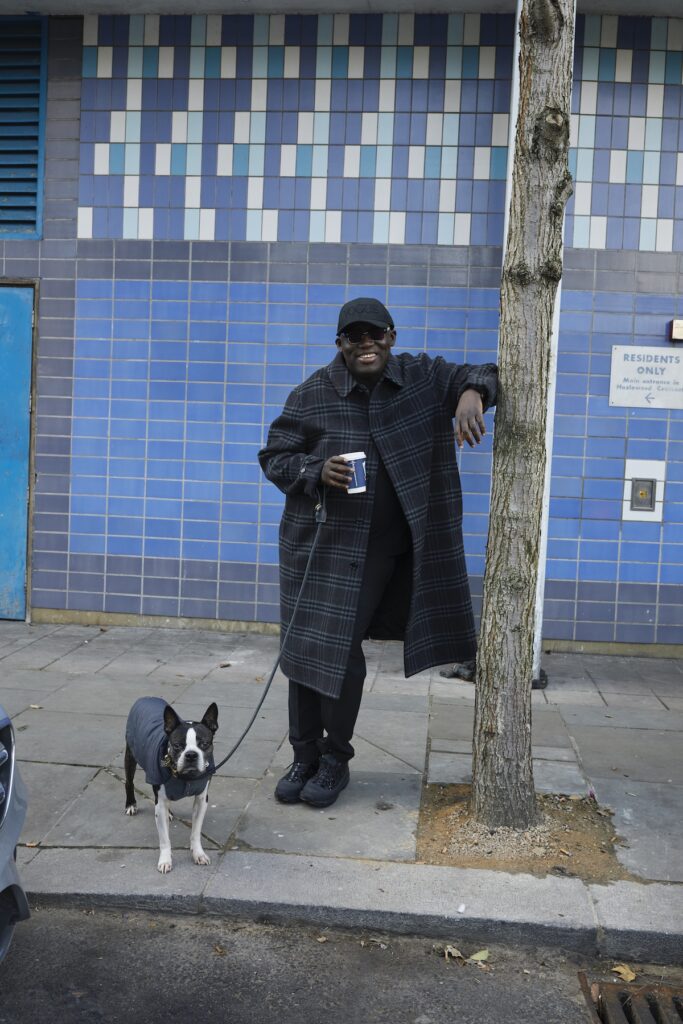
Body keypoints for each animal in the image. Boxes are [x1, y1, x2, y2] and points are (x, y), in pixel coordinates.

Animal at [124, 696, 218, 872]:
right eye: (177, 745)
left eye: (204, 744)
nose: (191, 755)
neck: (186, 777)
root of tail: (146, 697)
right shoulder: (159, 803)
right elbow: (164, 839)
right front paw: (165, 860)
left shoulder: (201, 800)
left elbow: (196, 832)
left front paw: (198, 853)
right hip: (131, 754)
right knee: (129, 782)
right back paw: (131, 805)